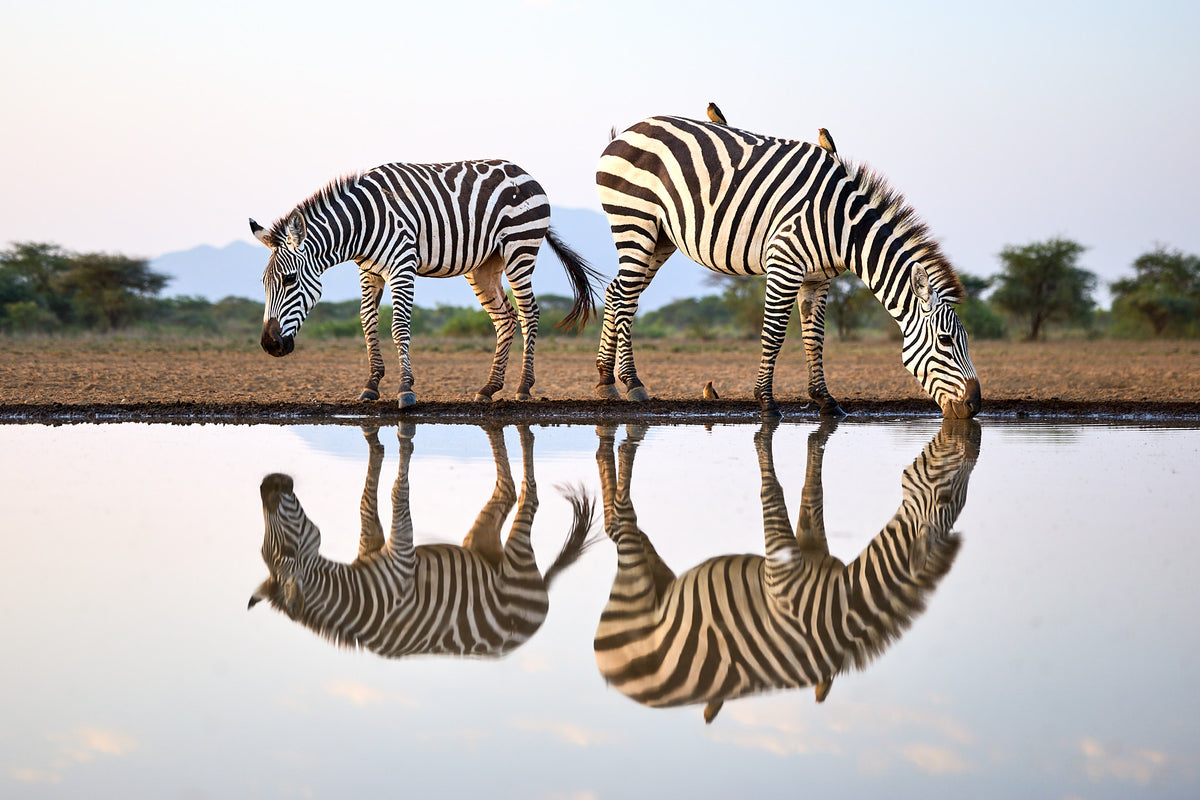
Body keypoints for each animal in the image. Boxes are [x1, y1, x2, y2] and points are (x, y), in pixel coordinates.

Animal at [249, 424, 596, 659]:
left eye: (287, 550)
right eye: (263, 551)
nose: (267, 484)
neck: (360, 592)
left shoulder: (401, 559)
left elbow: (395, 493)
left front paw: (404, 440)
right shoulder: (372, 546)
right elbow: (365, 503)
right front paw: (381, 448)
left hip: (516, 563)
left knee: (529, 499)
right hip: (483, 545)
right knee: (507, 493)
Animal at [250, 160, 604, 408]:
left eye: (290, 279)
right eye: (263, 284)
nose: (269, 345)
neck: (362, 225)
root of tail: (525, 172)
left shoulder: (402, 266)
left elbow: (398, 327)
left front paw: (405, 389)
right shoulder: (368, 272)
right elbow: (367, 322)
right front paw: (371, 384)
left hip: (520, 248)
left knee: (530, 313)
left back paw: (523, 387)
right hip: (485, 265)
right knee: (506, 318)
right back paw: (489, 388)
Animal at [584, 417, 979, 722]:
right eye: (947, 498)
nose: (970, 448)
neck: (840, 605)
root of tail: (610, 676)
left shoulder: (814, 547)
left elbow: (812, 494)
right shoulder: (781, 571)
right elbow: (773, 492)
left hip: (659, 582)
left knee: (618, 528)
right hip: (635, 587)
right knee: (625, 522)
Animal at [595, 115, 981, 418]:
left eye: (965, 340)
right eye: (946, 341)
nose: (975, 405)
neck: (842, 226)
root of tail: (626, 132)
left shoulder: (818, 279)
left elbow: (814, 338)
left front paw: (826, 401)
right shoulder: (785, 265)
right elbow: (775, 334)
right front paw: (766, 401)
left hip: (661, 237)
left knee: (617, 291)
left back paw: (605, 381)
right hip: (635, 222)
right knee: (626, 298)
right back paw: (633, 383)